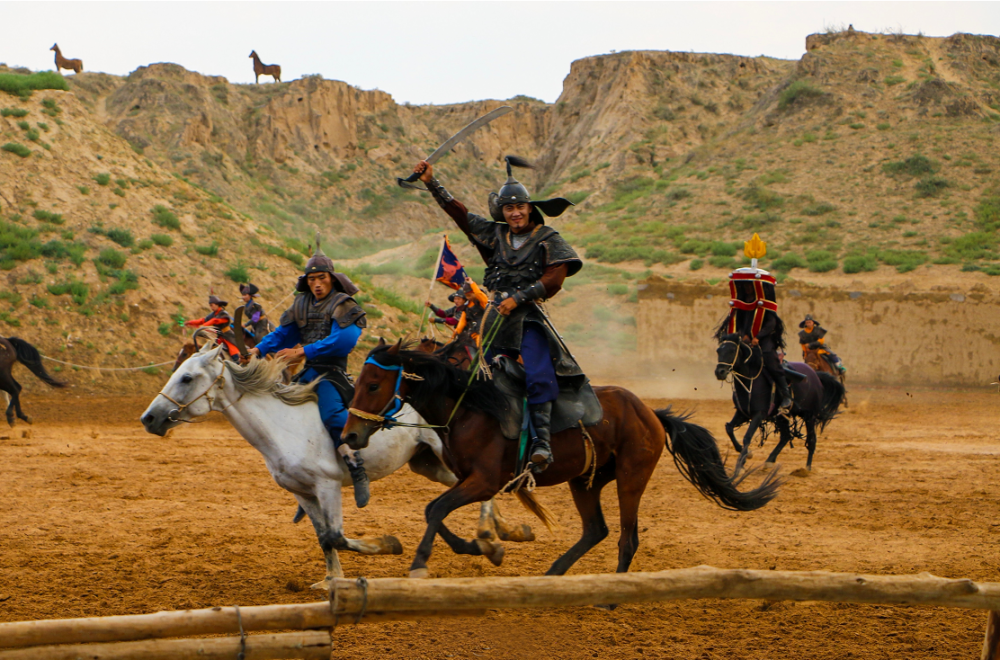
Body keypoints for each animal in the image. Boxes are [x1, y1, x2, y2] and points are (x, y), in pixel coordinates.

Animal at [143, 340, 532, 588]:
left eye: (187, 377)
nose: (149, 418)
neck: (282, 426)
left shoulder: (327, 486)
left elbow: (337, 535)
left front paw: (388, 544)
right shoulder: (302, 493)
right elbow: (324, 538)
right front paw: (332, 580)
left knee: (479, 487)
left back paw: (491, 536)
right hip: (429, 465)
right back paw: (500, 533)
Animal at [344, 340, 780, 576]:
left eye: (374, 384)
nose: (349, 434)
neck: (471, 409)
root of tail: (651, 414)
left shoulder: (483, 481)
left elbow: (435, 509)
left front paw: (423, 561)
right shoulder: (468, 480)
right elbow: (433, 510)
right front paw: (481, 548)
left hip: (631, 478)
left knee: (627, 538)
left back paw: (611, 597)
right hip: (585, 481)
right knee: (595, 530)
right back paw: (553, 574)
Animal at [716, 336, 848, 474]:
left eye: (732, 351)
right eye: (718, 351)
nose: (719, 372)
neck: (751, 381)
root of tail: (816, 375)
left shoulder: (759, 414)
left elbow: (747, 436)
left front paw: (741, 464)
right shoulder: (742, 413)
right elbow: (729, 428)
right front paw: (746, 455)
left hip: (809, 416)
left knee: (811, 440)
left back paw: (807, 468)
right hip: (781, 416)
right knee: (785, 436)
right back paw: (769, 461)